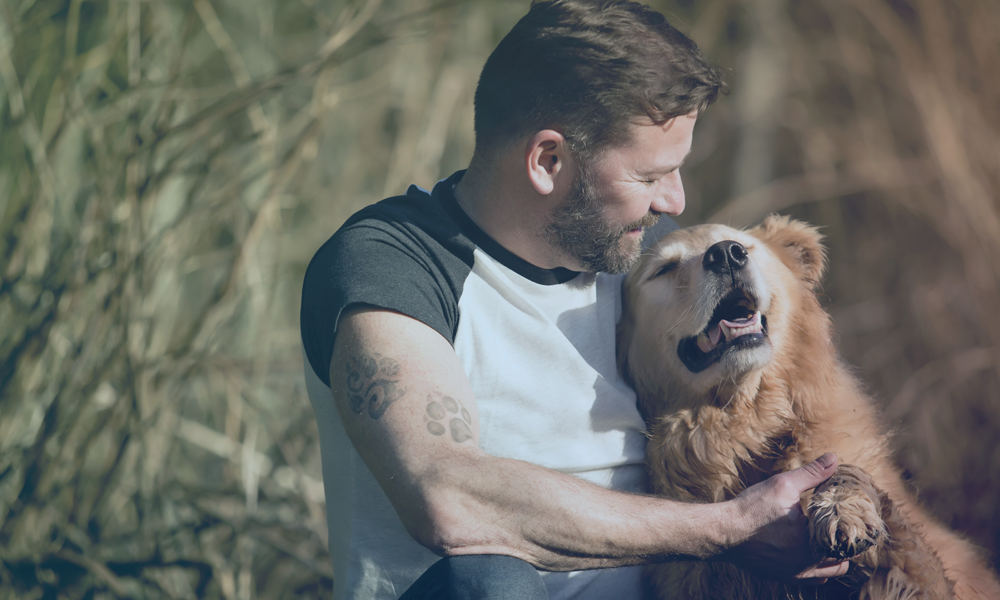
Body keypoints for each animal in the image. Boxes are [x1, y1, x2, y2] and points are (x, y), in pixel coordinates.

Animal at [616, 217, 1000, 600]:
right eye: (664, 269)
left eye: (743, 245)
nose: (725, 254)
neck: (745, 417)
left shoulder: (919, 573)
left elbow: (848, 473)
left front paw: (843, 511)